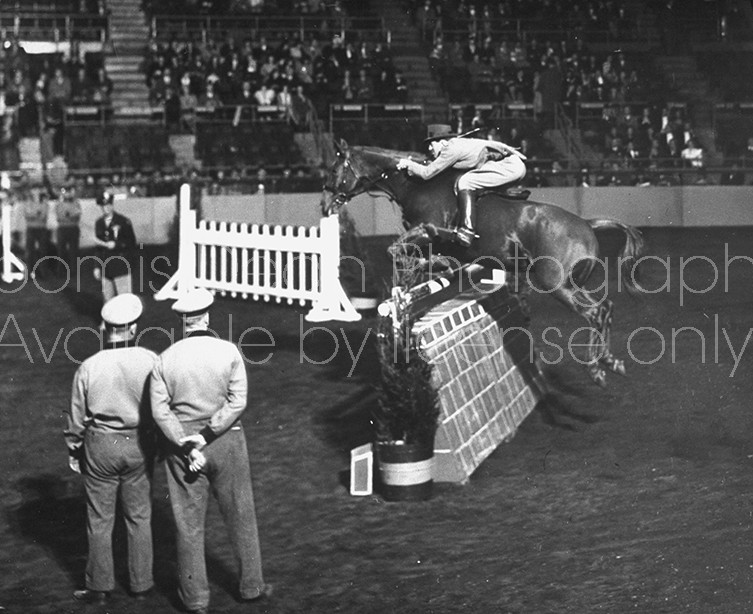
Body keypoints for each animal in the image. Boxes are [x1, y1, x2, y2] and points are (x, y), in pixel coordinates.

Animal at [320, 142, 644, 388]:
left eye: (335, 169)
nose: (325, 205)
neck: (416, 183)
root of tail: (587, 224)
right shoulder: (427, 237)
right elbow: (407, 254)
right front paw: (436, 265)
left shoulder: (428, 229)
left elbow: (395, 250)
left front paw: (439, 265)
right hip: (572, 284)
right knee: (606, 308)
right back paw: (610, 361)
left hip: (557, 285)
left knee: (595, 312)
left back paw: (596, 369)